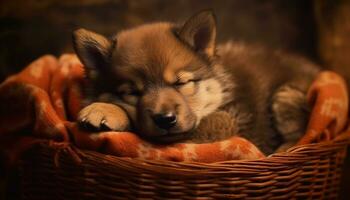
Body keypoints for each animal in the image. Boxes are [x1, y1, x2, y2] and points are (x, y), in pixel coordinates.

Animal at [72, 9, 318, 155]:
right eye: (132, 92)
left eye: (181, 83)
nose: (165, 119)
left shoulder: (227, 122)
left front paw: (104, 110)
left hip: (286, 94)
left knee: (299, 135)